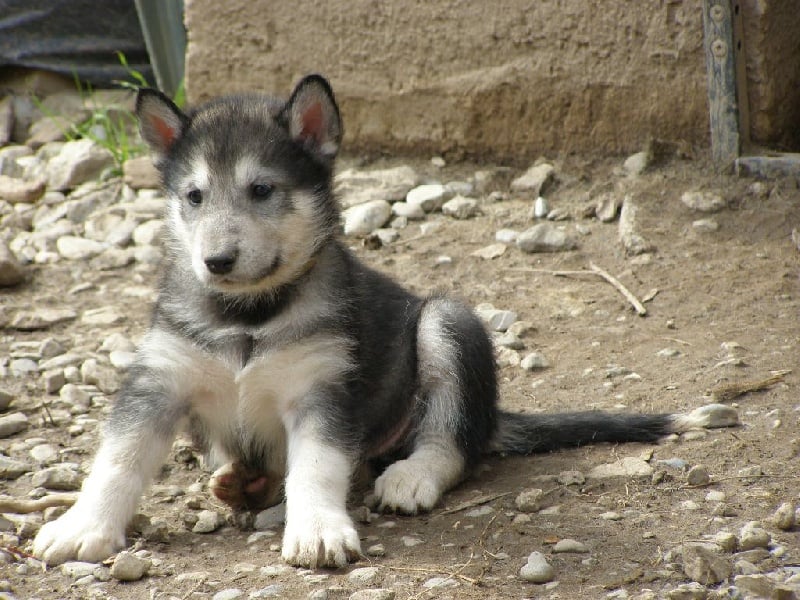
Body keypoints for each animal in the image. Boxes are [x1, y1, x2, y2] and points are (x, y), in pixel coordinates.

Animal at [29, 75, 732, 568]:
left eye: (262, 190)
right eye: (194, 197)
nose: (216, 261)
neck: (248, 316)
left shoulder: (325, 390)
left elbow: (318, 465)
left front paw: (316, 529)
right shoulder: (158, 380)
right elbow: (117, 460)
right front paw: (82, 527)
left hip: (446, 325)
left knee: (452, 442)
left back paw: (411, 475)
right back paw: (239, 479)